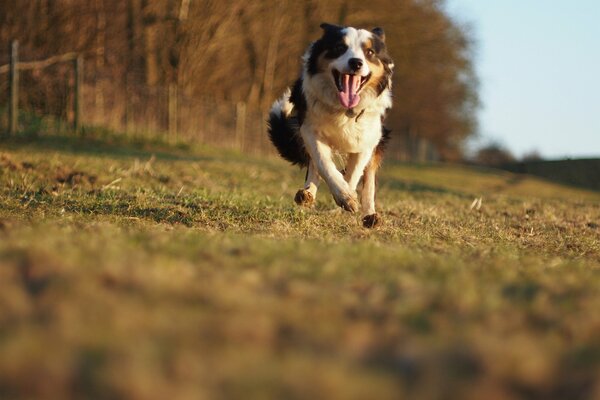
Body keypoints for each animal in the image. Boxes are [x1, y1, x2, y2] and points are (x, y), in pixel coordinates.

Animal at [268, 22, 394, 228]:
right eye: (339, 48)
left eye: (369, 52)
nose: (356, 63)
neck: (343, 109)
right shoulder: (309, 128)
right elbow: (323, 162)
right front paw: (343, 195)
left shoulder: (370, 138)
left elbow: (355, 172)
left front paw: (348, 196)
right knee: (315, 165)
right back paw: (307, 194)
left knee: (368, 179)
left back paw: (370, 216)